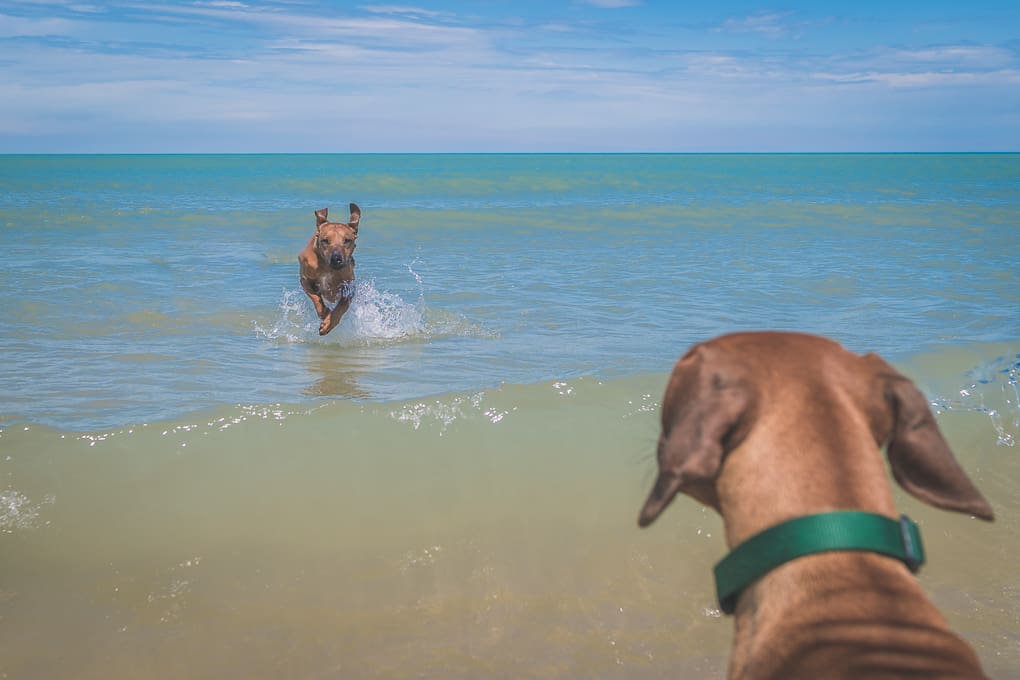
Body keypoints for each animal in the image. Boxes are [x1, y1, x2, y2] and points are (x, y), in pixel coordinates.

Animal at [297, 204, 361, 338]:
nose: (336, 258)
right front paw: (324, 312)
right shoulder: (305, 279)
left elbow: (342, 306)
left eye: (347, 240)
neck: (327, 268)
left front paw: (328, 323)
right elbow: (315, 297)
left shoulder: (349, 287)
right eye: (325, 240)